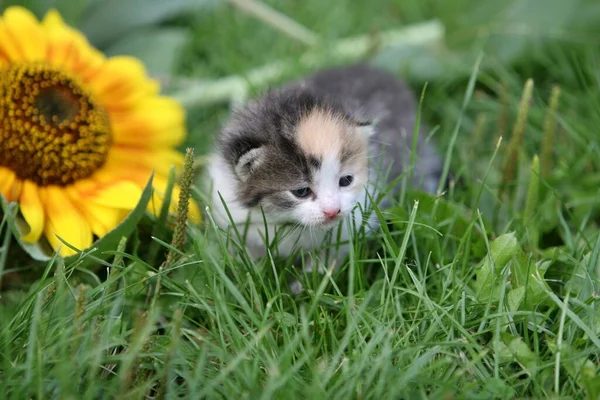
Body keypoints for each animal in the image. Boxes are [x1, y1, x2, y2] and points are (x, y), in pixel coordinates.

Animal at [204, 63, 442, 288]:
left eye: (346, 181)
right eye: (301, 191)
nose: (332, 211)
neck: (287, 223)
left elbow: (329, 258)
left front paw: (307, 285)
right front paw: (246, 275)